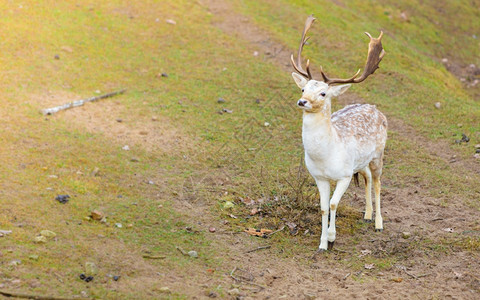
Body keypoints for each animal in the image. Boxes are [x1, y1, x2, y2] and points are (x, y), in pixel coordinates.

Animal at [290, 15, 388, 252]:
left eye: (323, 93)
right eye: (303, 88)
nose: (302, 101)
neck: (325, 156)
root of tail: (376, 109)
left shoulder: (344, 175)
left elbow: (334, 203)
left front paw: (333, 237)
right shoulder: (319, 177)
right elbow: (324, 207)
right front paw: (322, 243)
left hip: (378, 154)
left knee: (378, 182)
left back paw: (379, 223)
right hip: (360, 162)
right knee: (367, 177)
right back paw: (367, 215)